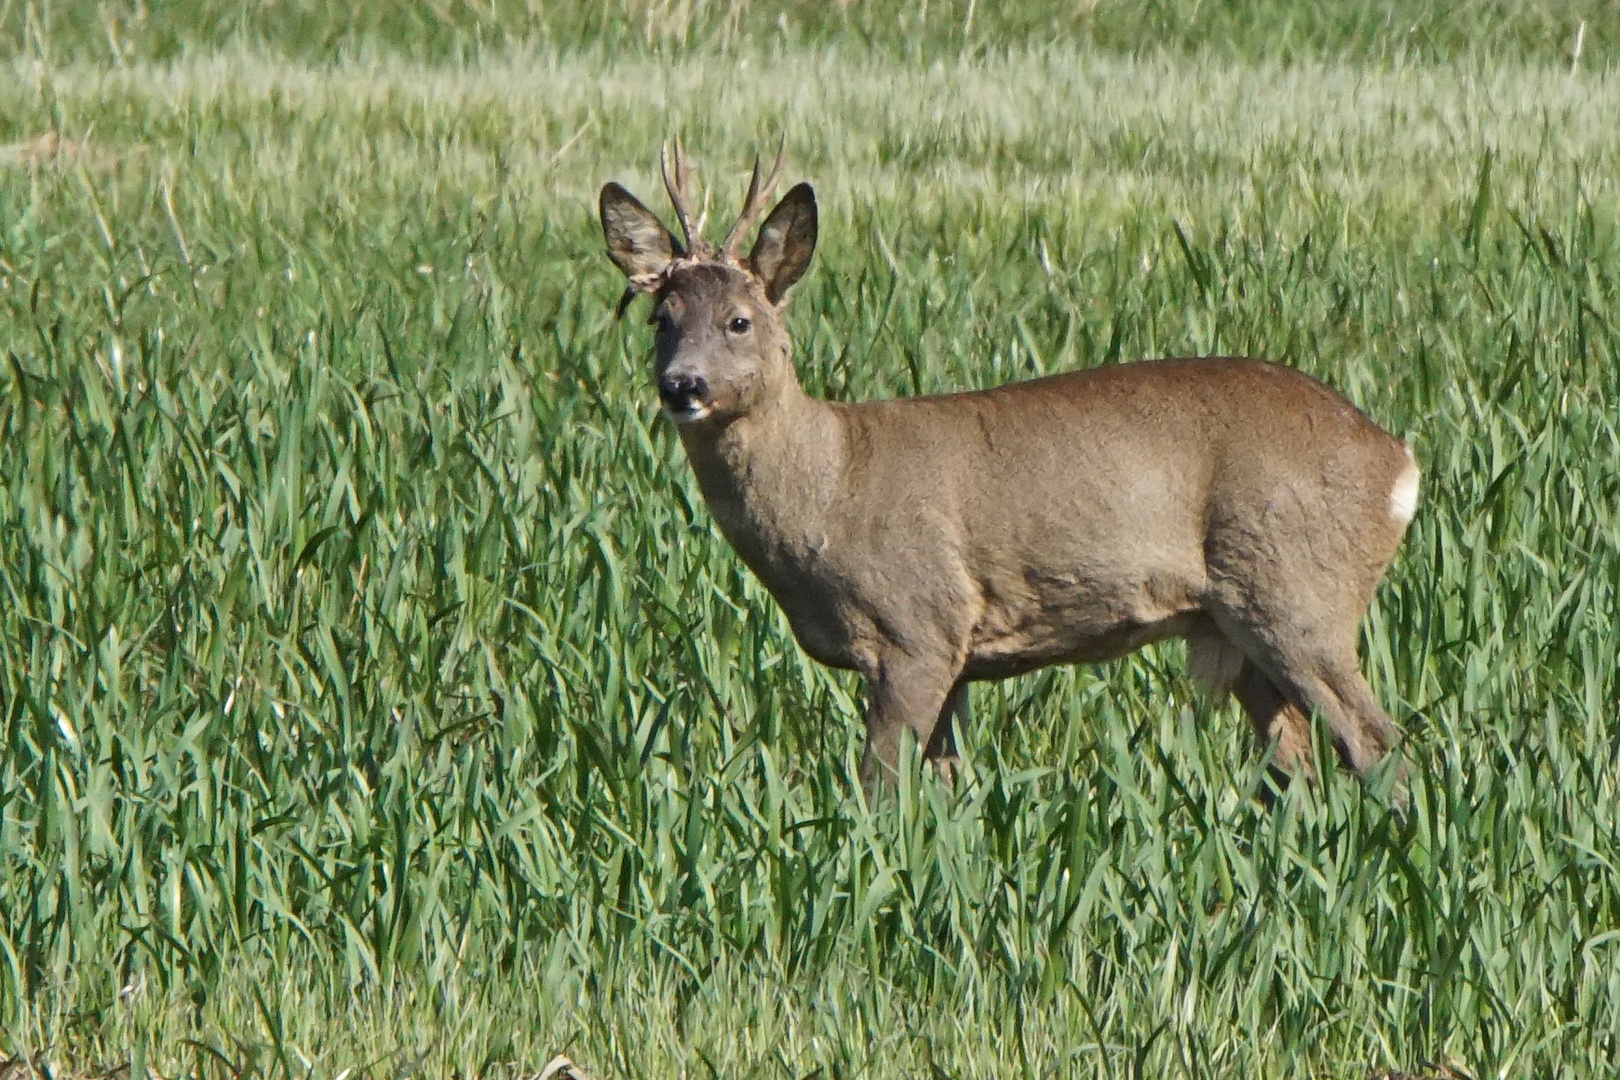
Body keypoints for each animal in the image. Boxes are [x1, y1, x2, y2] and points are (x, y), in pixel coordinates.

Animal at [599, 143, 1419, 803]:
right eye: (661, 318)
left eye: (740, 319)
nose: (682, 385)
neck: (829, 486)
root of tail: (1399, 463)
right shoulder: (956, 655)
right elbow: (944, 793)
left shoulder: (916, 624)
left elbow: (880, 792)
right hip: (1240, 627)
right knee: (1297, 767)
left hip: (1298, 593)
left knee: (1381, 746)